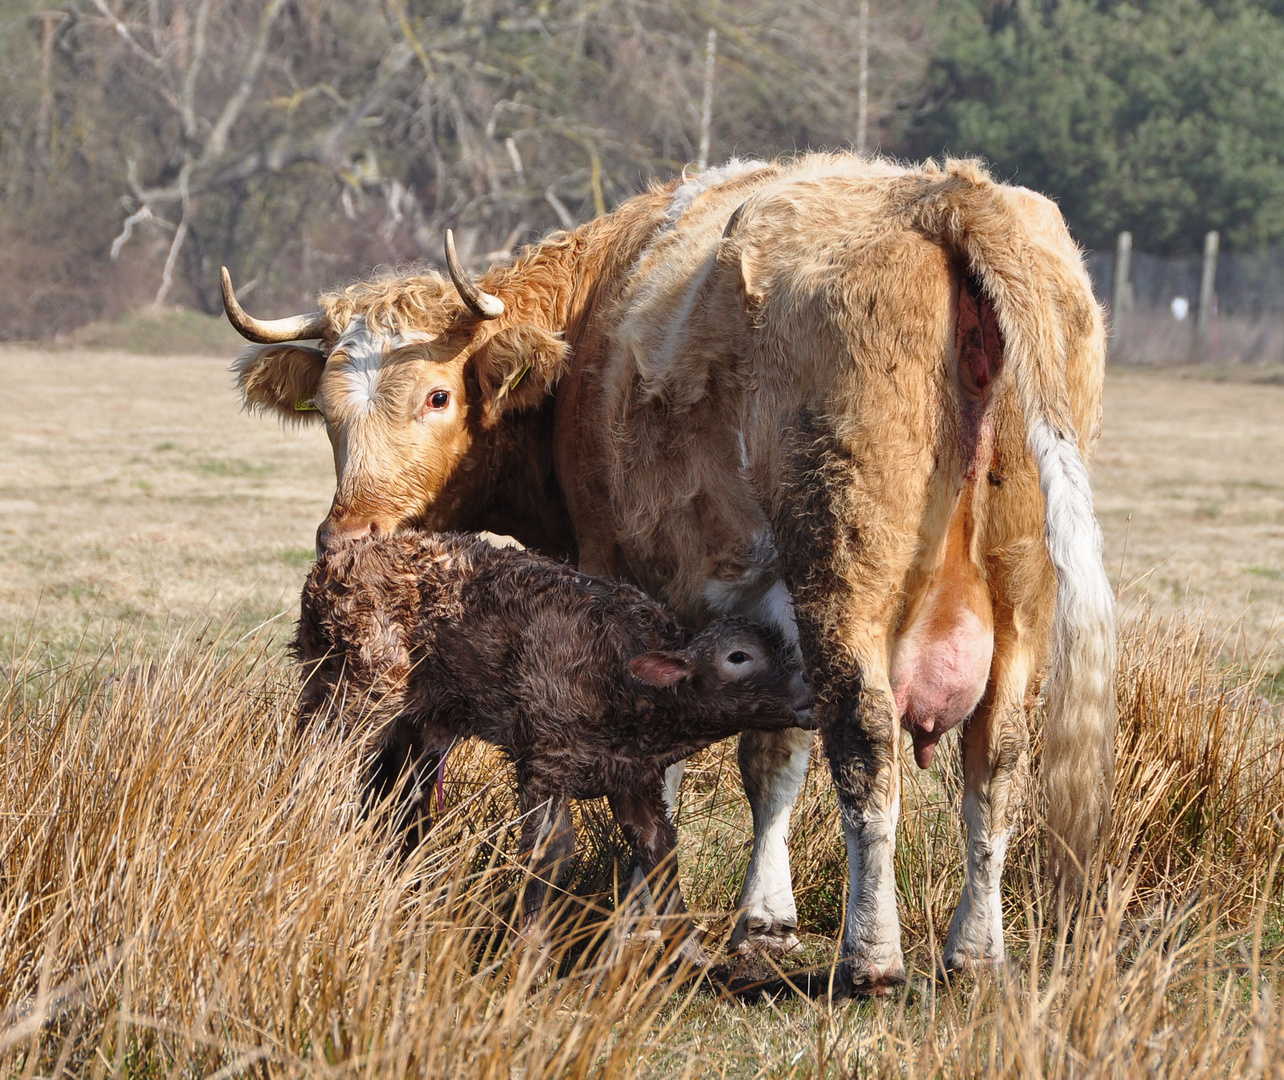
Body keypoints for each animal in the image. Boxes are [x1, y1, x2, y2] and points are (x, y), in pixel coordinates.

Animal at [295, 531, 806, 950]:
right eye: (739, 657)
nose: (810, 692)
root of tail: (337, 561)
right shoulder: (545, 761)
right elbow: (550, 853)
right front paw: (528, 949)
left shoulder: (634, 782)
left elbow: (660, 852)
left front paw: (686, 953)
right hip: (356, 688)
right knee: (321, 763)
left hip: (426, 720)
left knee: (402, 795)